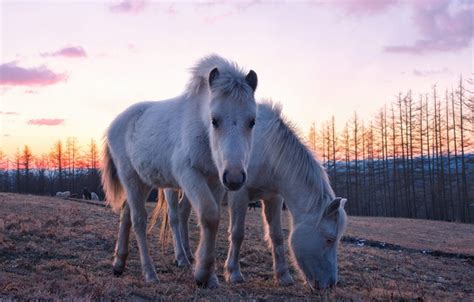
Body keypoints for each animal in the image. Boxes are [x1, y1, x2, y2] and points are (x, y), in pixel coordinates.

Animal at [100, 54, 258, 288]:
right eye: (214, 120)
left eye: (252, 121)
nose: (235, 178)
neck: (202, 132)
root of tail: (115, 123)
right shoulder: (190, 176)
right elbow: (209, 215)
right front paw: (201, 274)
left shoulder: (216, 181)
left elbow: (213, 218)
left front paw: (210, 277)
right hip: (130, 178)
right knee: (138, 220)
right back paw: (149, 273)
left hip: (142, 182)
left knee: (126, 214)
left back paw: (119, 263)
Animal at [163, 101, 348, 290]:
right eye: (329, 239)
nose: (330, 284)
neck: (268, 149)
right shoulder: (239, 195)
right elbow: (237, 234)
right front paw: (234, 273)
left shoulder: (273, 198)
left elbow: (277, 236)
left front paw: (283, 276)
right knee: (174, 218)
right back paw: (181, 257)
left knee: (184, 214)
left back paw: (189, 254)